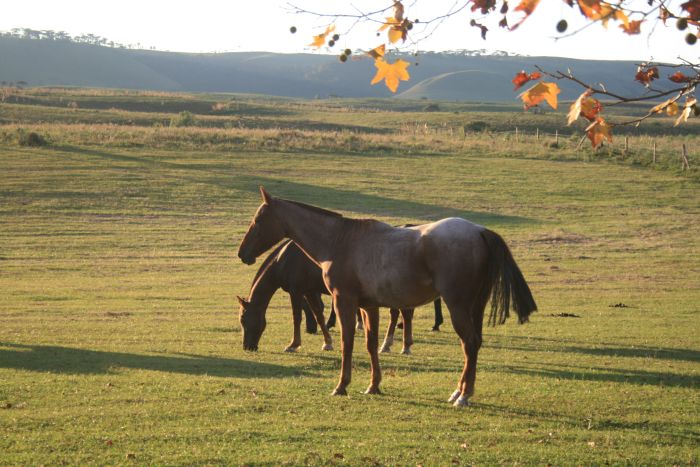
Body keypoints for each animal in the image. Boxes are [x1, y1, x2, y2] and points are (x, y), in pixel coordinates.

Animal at [238, 188, 540, 408]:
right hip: (475, 307)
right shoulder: (368, 307)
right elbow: (371, 344)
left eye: (257, 220)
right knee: (474, 344)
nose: (242, 253)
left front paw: (341, 385)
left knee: (469, 343)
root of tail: (479, 230)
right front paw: (373, 385)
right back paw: (460, 391)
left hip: (458, 306)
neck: (340, 241)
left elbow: (347, 343)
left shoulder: (344, 302)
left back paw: (463, 395)